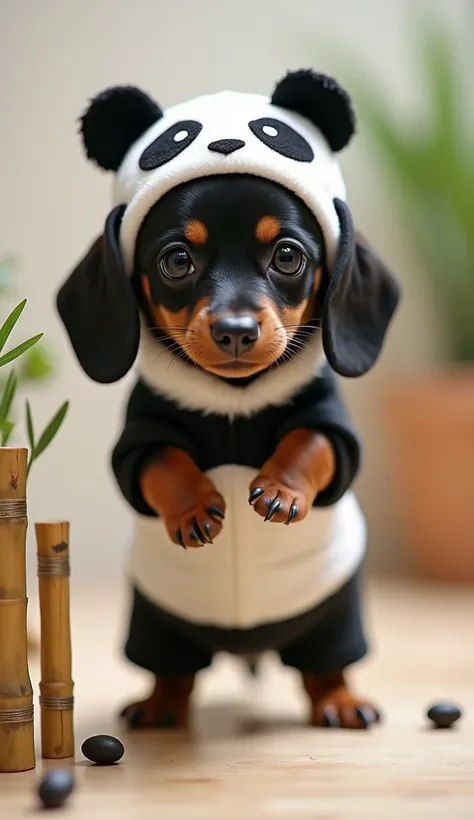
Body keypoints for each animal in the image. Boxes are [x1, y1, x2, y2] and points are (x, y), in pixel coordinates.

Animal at [57, 65, 402, 732]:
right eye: (176, 260)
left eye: (288, 255)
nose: (237, 331)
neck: (236, 403)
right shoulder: (138, 441)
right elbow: (164, 462)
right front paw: (194, 506)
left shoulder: (334, 430)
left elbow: (309, 441)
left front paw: (280, 488)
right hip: (155, 625)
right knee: (174, 671)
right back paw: (159, 705)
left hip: (335, 618)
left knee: (325, 667)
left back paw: (340, 701)